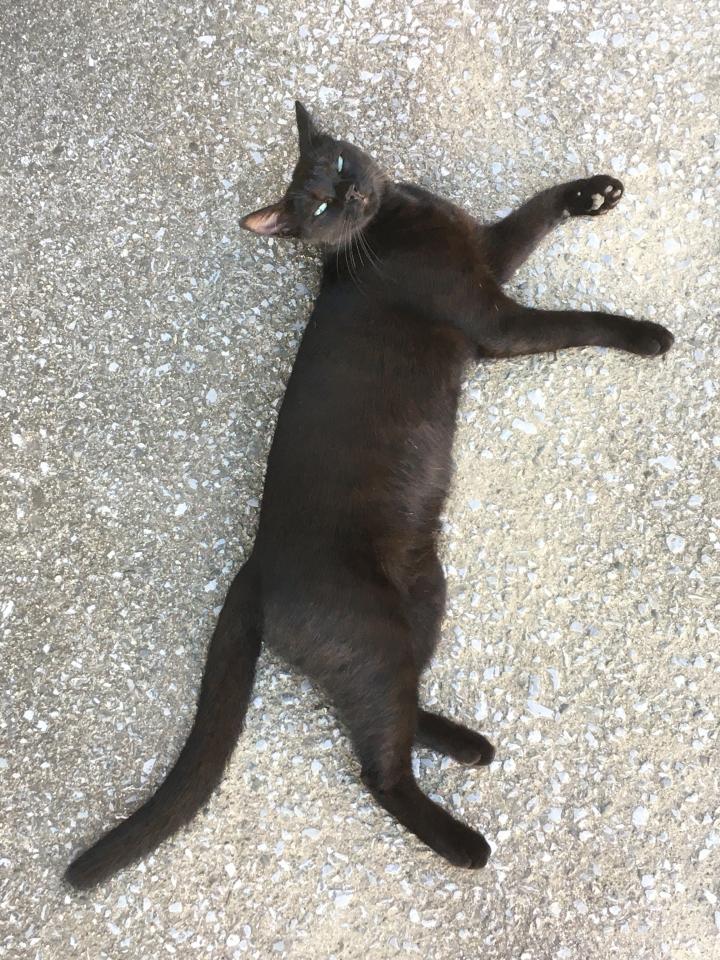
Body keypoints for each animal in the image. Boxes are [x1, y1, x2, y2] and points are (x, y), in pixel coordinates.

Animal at [65, 101, 673, 887]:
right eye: (319, 204)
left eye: (338, 165)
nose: (350, 192)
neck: (396, 217)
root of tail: (255, 566)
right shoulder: (496, 319)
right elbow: (576, 320)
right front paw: (647, 334)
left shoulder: (488, 249)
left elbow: (534, 211)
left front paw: (591, 194)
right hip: (374, 635)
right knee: (379, 767)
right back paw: (466, 844)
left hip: (425, 595)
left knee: (402, 705)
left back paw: (470, 744)